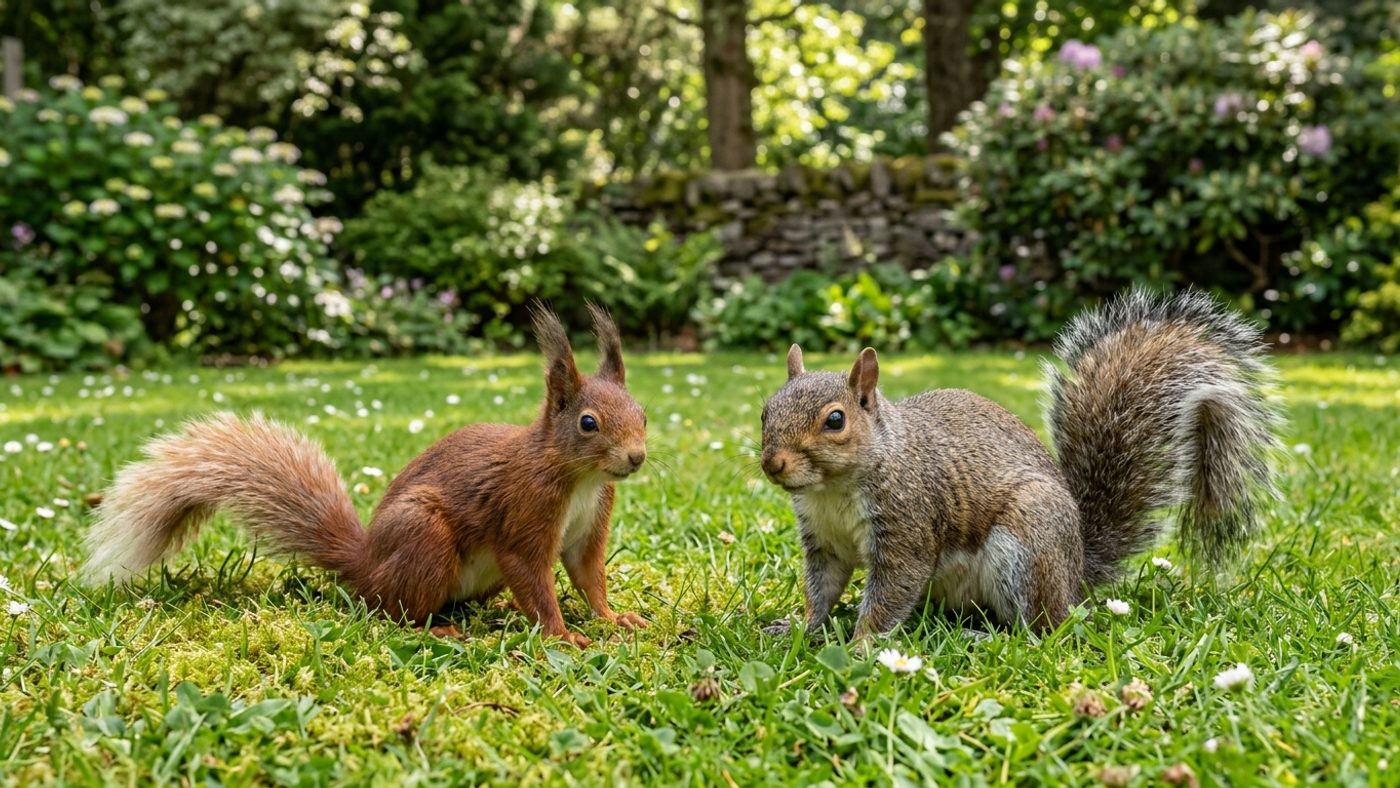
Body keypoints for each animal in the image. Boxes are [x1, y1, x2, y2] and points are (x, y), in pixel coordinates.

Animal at [83, 304, 649, 648]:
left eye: (642, 413)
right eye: (588, 423)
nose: (636, 458)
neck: (579, 478)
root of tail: (367, 566)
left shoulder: (590, 522)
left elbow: (586, 572)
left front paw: (613, 618)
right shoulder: (524, 510)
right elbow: (531, 574)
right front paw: (563, 635)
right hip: (424, 537)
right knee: (394, 614)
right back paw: (437, 631)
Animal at [759, 289, 1279, 637]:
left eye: (836, 420)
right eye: (766, 410)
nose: (773, 464)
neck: (833, 490)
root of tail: (1074, 573)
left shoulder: (908, 527)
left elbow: (891, 594)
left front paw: (861, 648)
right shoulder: (824, 541)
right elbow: (823, 589)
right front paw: (802, 629)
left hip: (1027, 544)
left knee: (1040, 628)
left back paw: (984, 635)